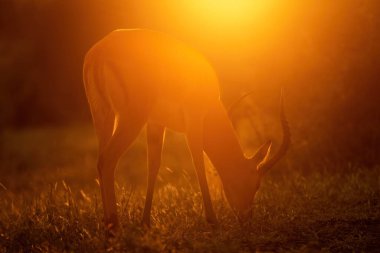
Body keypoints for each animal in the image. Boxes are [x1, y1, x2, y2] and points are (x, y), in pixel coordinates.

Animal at [84, 28, 290, 230]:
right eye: (256, 184)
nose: (247, 219)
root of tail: (100, 52)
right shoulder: (194, 120)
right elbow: (198, 163)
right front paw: (212, 220)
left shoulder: (156, 124)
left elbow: (154, 166)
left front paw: (145, 222)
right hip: (130, 119)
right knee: (107, 160)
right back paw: (114, 226)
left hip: (104, 116)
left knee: (100, 161)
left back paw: (107, 224)